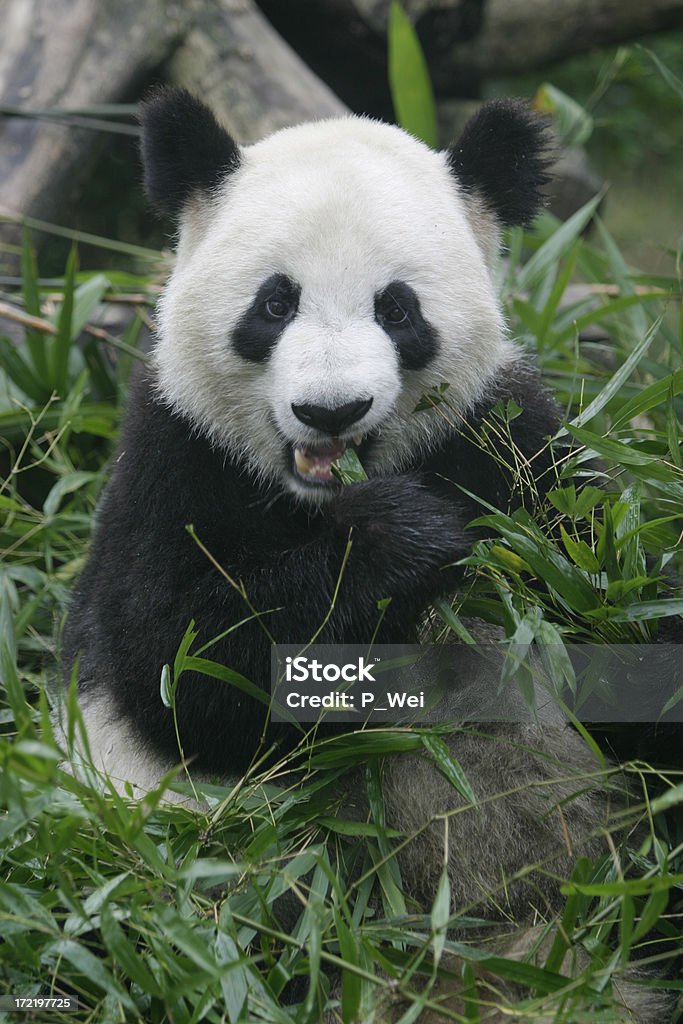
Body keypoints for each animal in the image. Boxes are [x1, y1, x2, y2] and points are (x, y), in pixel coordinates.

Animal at [61, 92, 671, 1019]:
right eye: (275, 303)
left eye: (398, 309)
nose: (330, 410)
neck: (321, 494)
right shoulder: (172, 458)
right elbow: (176, 661)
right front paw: (404, 540)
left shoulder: (512, 447)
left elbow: (617, 604)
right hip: (201, 858)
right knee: (247, 910)